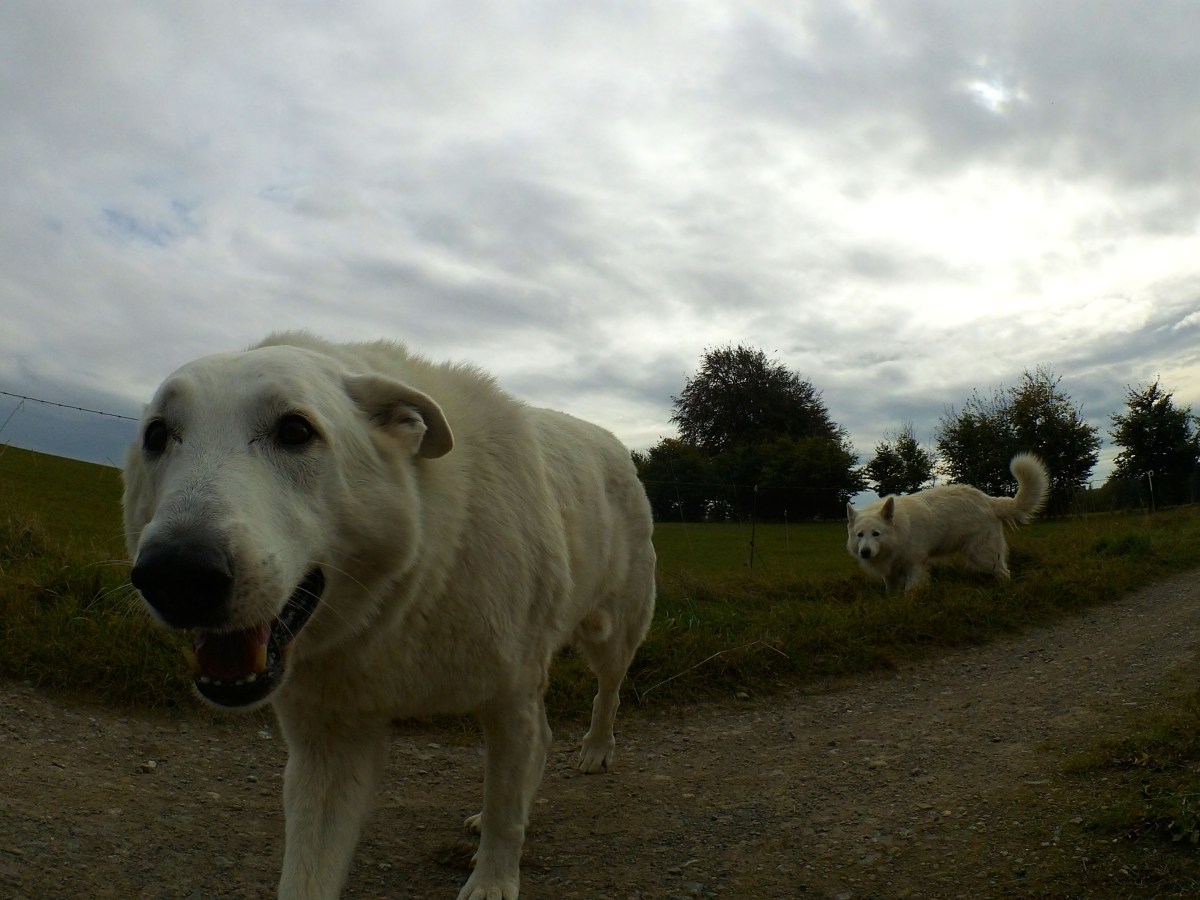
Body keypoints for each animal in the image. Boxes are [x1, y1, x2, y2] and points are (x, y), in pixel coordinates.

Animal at [122, 332, 657, 900]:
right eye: (157, 435)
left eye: (295, 431)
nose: (177, 574)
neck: (405, 595)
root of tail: (612, 441)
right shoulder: (329, 743)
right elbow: (307, 874)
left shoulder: (512, 697)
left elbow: (506, 808)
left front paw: (492, 880)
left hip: (611, 633)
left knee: (607, 692)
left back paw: (595, 750)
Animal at [846, 453, 1048, 592]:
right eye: (860, 535)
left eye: (876, 534)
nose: (865, 552)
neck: (899, 533)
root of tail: (988, 500)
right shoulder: (891, 574)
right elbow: (892, 593)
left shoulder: (915, 565)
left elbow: (910, 592)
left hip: (981, 554)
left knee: (1004, 573)